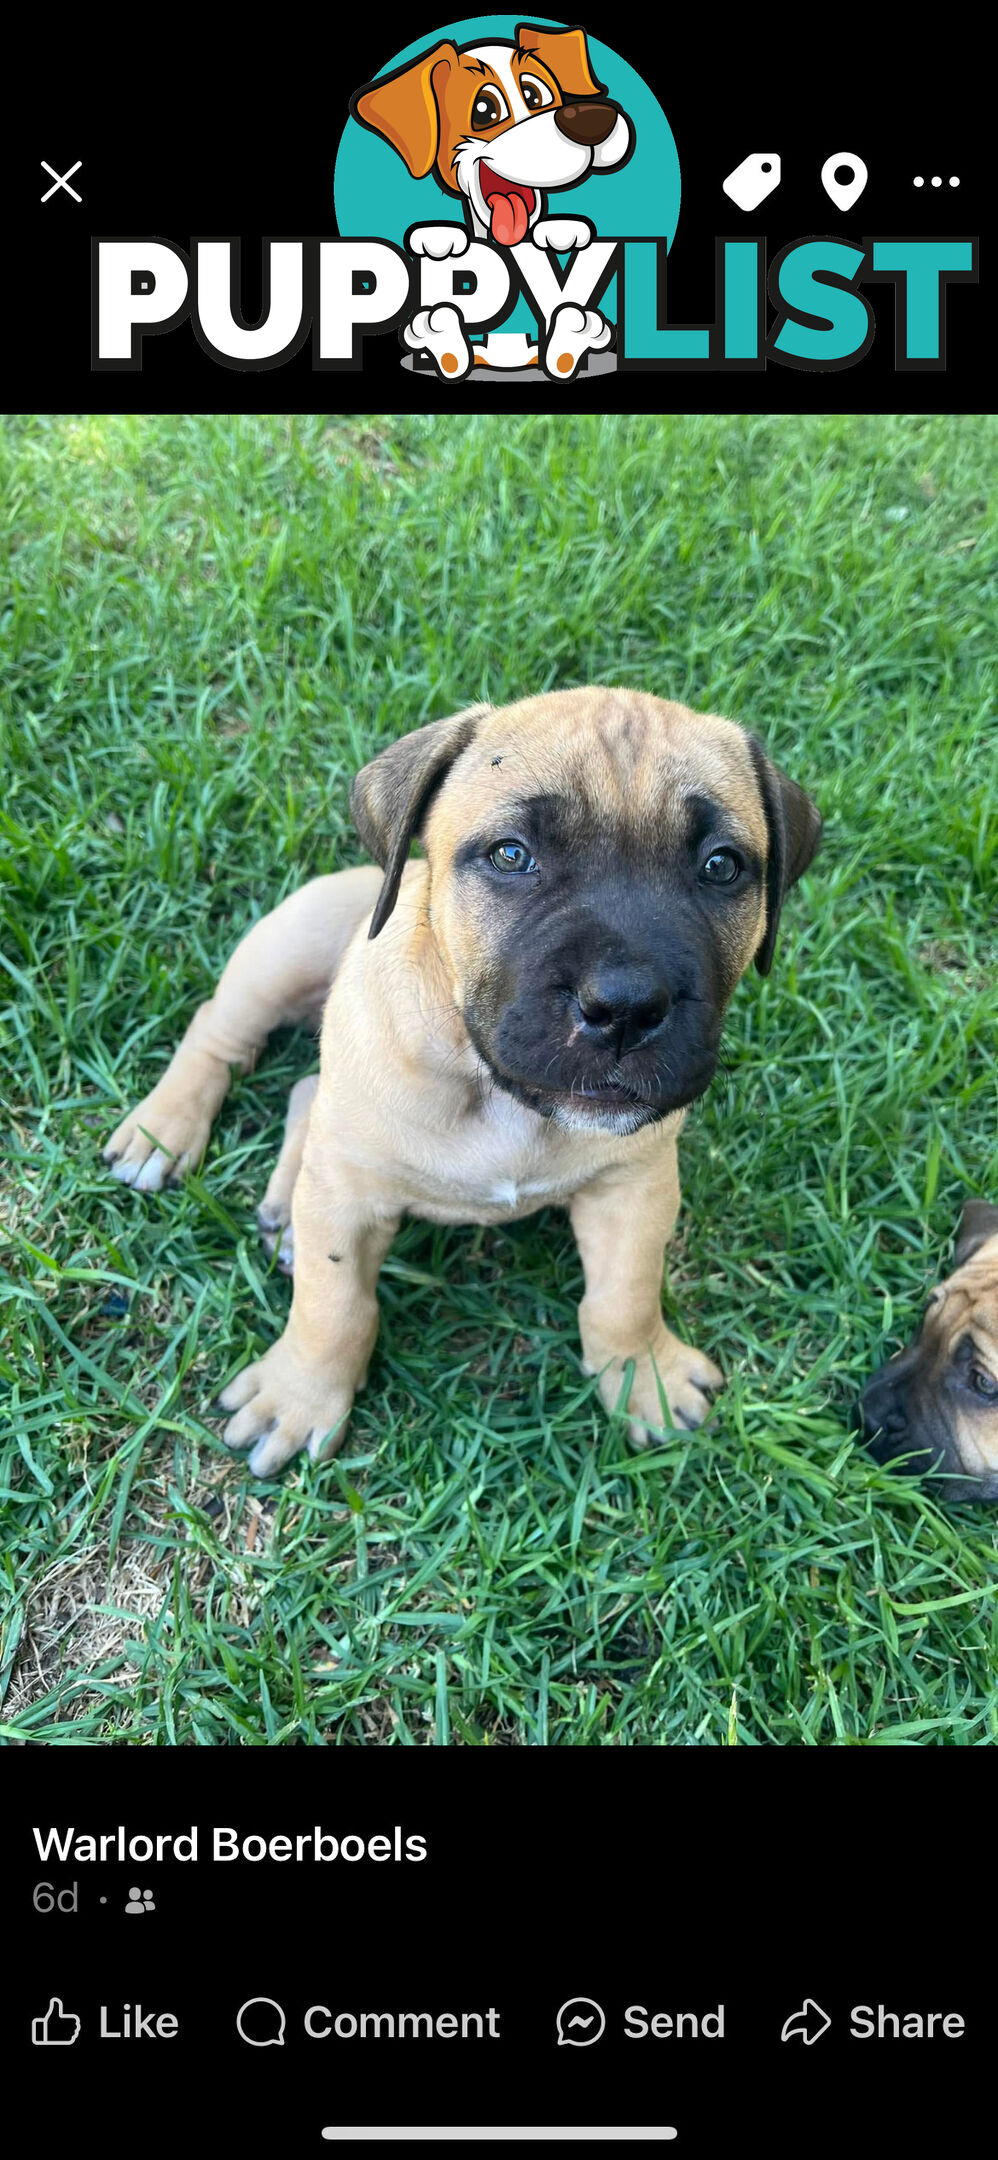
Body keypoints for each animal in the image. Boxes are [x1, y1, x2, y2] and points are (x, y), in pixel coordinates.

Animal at [101, 682, 820, 1477]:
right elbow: (332, 1302)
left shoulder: (636, 1183)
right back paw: (162, 1134)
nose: (626, 1006)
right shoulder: (348, 1197)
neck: (500, 1094)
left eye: (722, 867)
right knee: (224, 1035)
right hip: (291, 943)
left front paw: (645, 1376)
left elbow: (625, 1293)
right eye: (511, 855)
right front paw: (300, 1395)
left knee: (305, 1093)